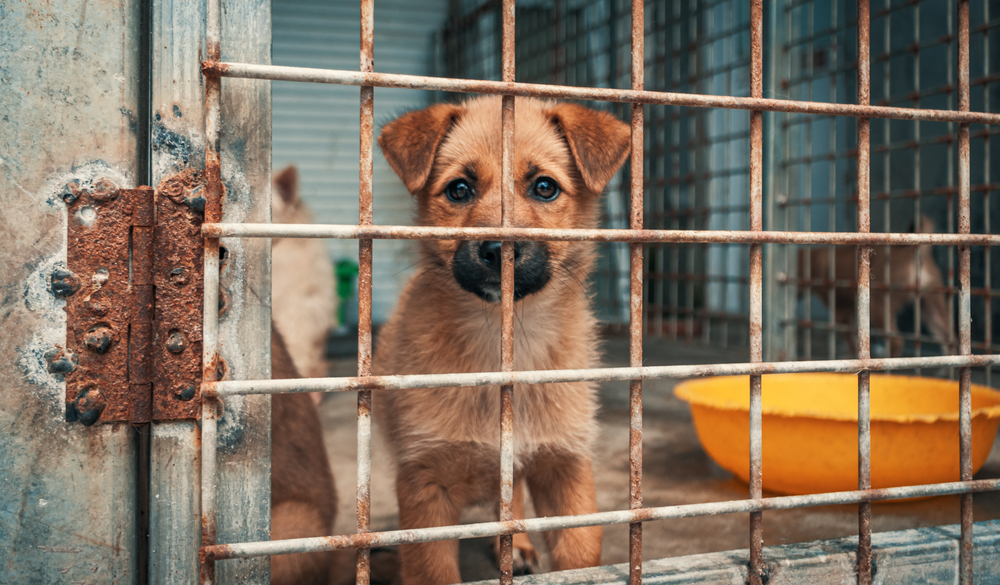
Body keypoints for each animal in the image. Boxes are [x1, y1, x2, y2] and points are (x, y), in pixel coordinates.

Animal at [372, 97, 628, 584]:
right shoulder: (424, 480)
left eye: (544, 187)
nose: (497, 250)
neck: (503, 343)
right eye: (459, 190)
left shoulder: (566, 465)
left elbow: (582, 552)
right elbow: (432, 569)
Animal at [796, 212, 952, 354]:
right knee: (949, 339)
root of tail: (913, 252)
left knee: (896, 341)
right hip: (933, 307)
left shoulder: (840, 310)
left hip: (879, 306)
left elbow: (851, 341)